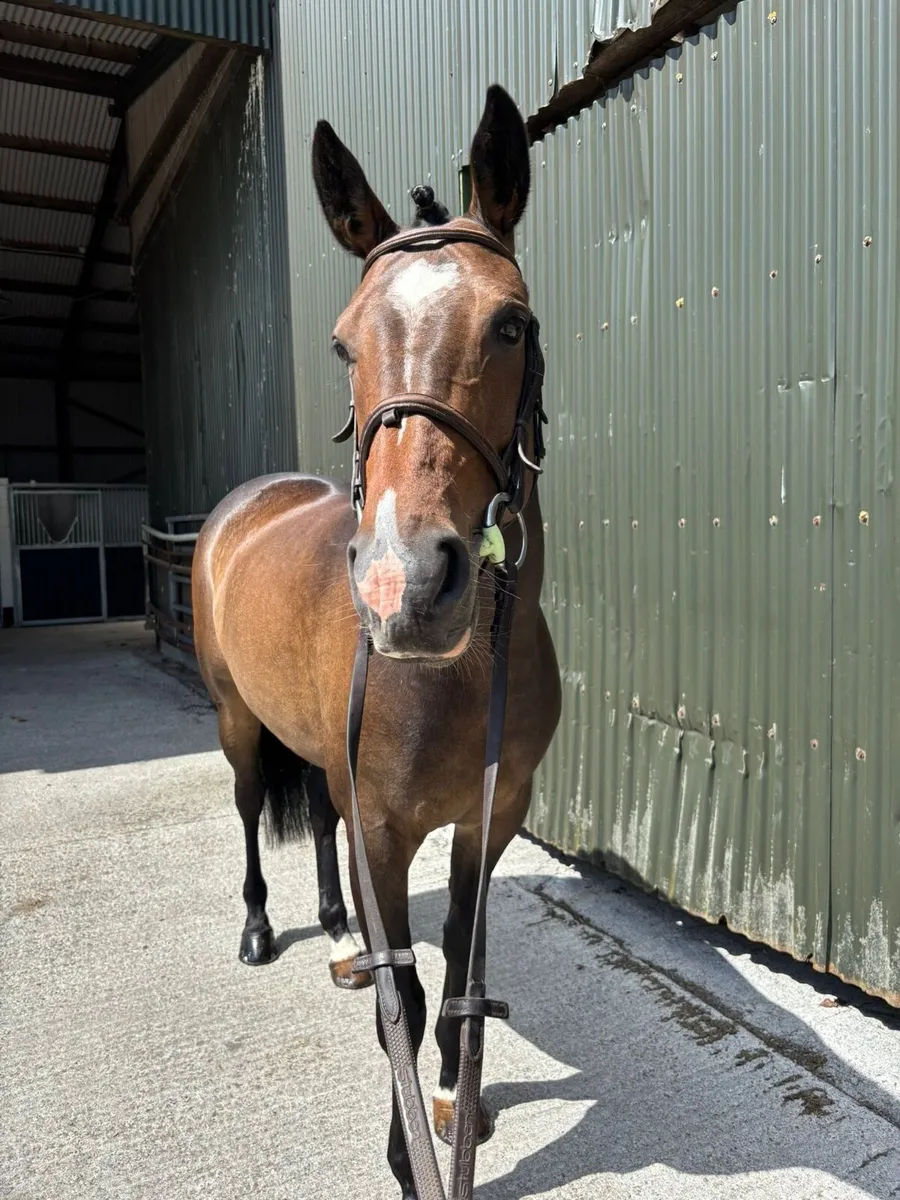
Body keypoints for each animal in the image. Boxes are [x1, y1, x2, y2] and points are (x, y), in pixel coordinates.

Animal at [192, 84, 561, 1198]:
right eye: (344, 345)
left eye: (512, 324)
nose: (407, 590)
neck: (452, 678)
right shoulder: (386, 830)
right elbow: (406, 982)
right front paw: (407, 1151)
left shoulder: (493, 815)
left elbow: (458, 959)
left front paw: (453, 1091)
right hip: (236, 724)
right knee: (248, 811)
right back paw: (262, 926)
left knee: (313, 812)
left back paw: (330, 925)